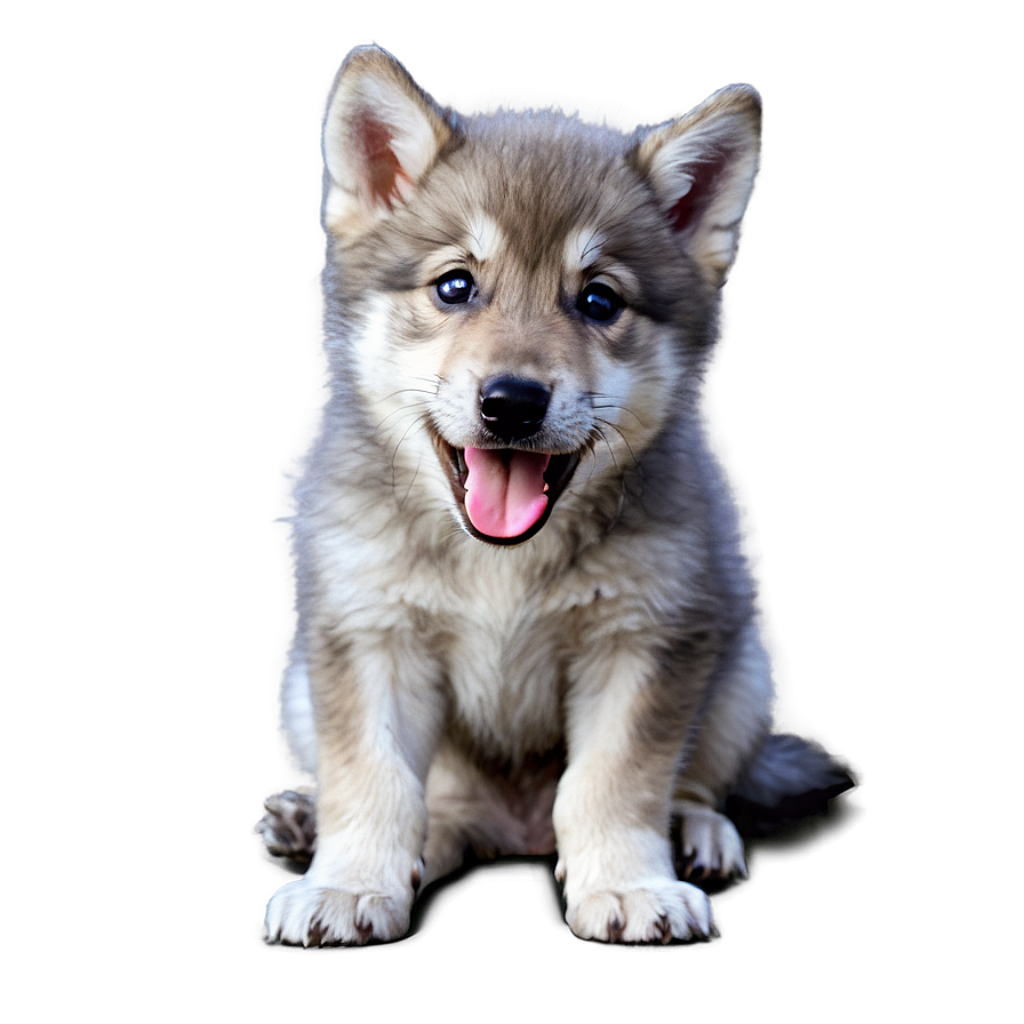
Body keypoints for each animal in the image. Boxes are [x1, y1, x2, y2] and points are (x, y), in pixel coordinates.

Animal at [256, 43, 846, 945]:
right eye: (455, 287)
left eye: (599, 299)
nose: (513, 402)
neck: (502, 565)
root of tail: (512, 834)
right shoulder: (370, 638)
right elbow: (376, 781)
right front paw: (349, 883)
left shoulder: (645, 640)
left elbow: (613, 781)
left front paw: (630, 882)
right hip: (295, 684)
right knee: (429, 805)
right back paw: (312, 822)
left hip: (744, 669)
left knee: (698, 777)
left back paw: (696, 830)